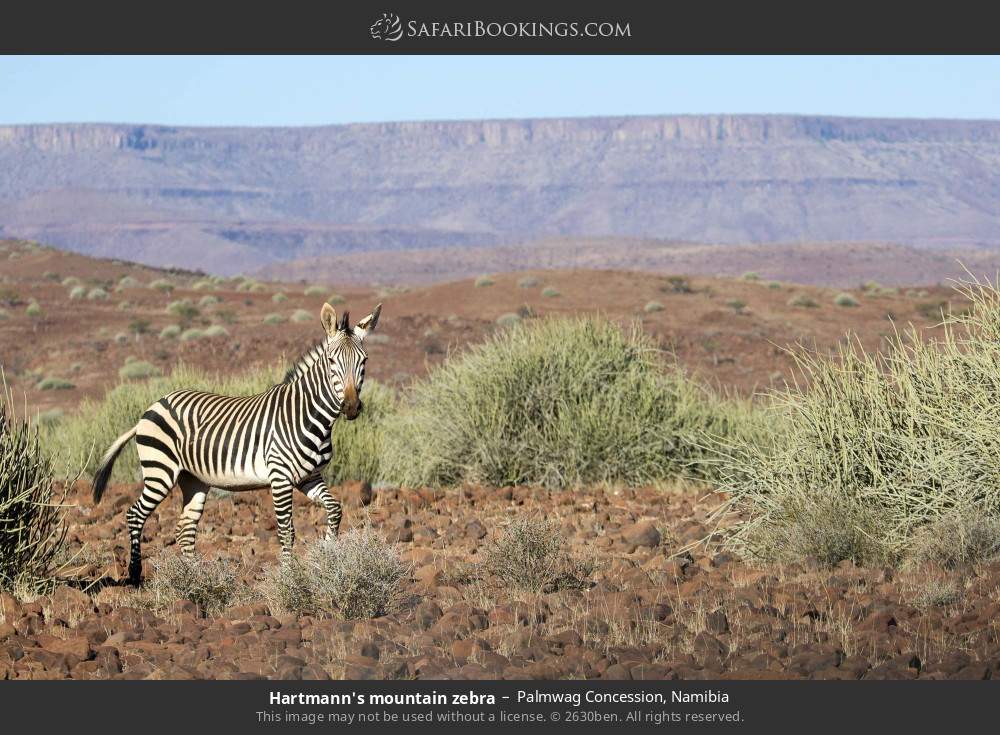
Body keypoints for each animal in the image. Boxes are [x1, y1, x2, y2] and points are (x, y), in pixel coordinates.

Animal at [91, 300, 382, 588]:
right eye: (332, 361)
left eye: (364, 361)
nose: (351, 407)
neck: (308, 416)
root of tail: (152, 407)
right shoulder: (280, 477)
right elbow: (286, 530)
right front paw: (288, 577)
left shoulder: (309, 477)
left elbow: (335, 509)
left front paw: (329, 552)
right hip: (159, 471)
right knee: (135, 515)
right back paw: (135, 574)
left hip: (193, 479)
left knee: (185, 528)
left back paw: (193, 578)